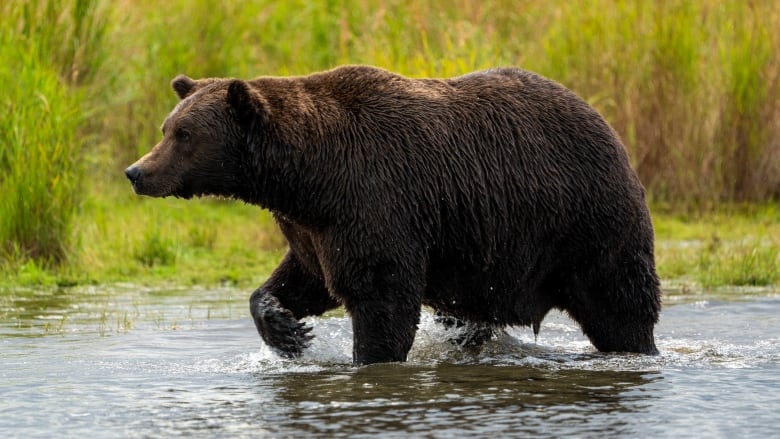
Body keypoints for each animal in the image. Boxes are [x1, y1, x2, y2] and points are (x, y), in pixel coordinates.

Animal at [125, 65, 660, 366]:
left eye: (185, 134)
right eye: (168, 127)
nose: (137, 171)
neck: (307, 175)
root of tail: (606, 125)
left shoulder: (376, 200)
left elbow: (381, 298)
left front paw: (368, 360)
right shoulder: (314, 226)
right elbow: (304, 280)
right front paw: (288, 331)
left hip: (586, 222)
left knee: (621, 302)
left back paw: (638, 349)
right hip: (487, 257)